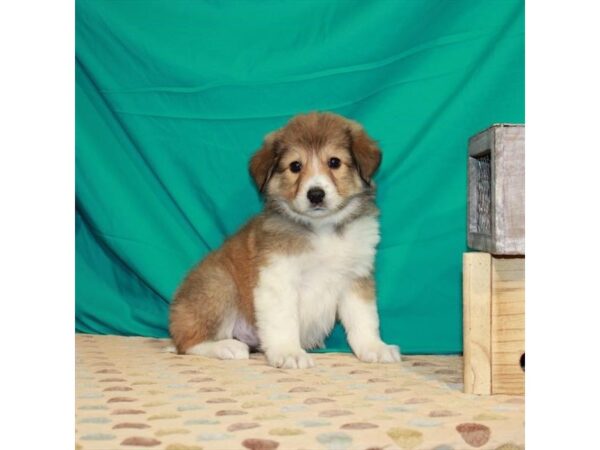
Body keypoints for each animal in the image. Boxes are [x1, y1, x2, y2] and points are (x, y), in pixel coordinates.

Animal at [169, 111, 400, 370]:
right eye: (295, 166)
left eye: (334, 162)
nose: (315, 194)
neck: (323, 229)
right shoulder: (277, 277)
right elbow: (284, 321)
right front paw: (289, 352)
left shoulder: (355, 278)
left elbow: (364, 319)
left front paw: (374, 348)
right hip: (219, 284)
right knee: (187, 342)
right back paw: (226, 347)